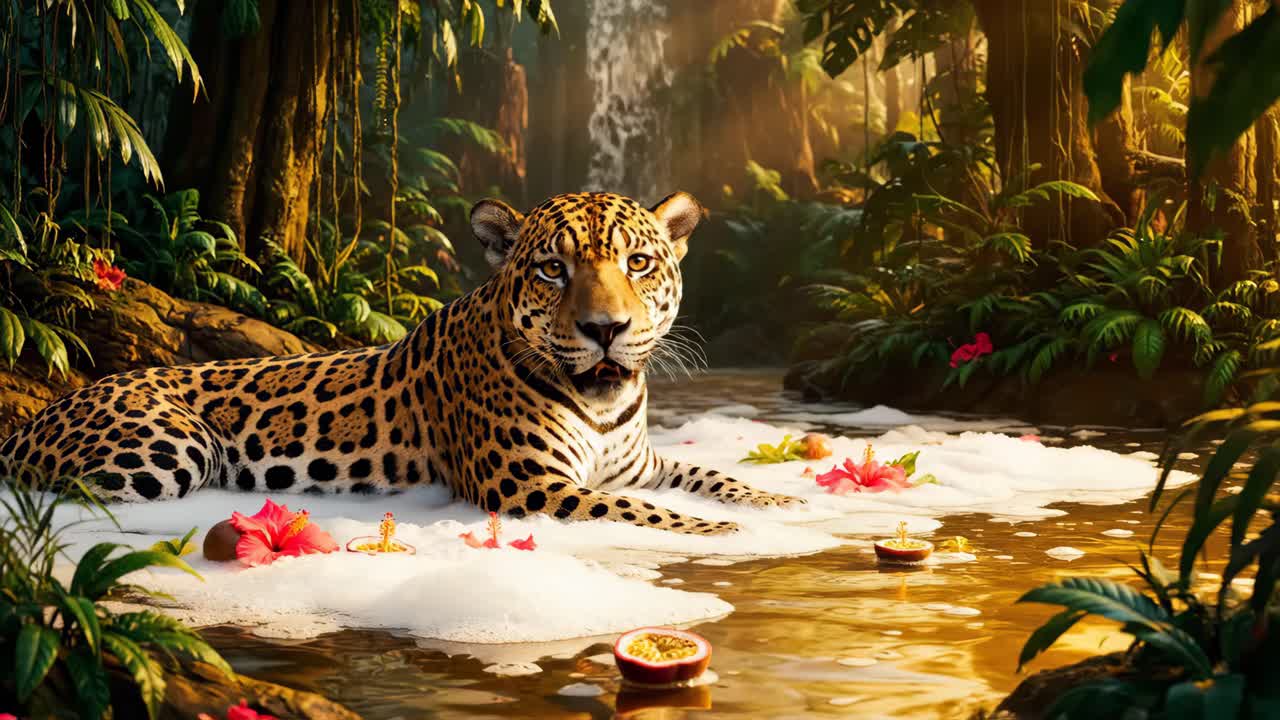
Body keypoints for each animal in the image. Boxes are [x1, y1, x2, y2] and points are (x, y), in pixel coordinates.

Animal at [0, 191, 803, 534]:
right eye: (552, 270)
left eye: (639, 263)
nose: (607, 329)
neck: (603, 405)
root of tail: (39, 414)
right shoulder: (527, 486)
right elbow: (650, 514)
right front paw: (731, 539)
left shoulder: (635, 465)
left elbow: (710, 478)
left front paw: (787, 507)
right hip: (166, 448)